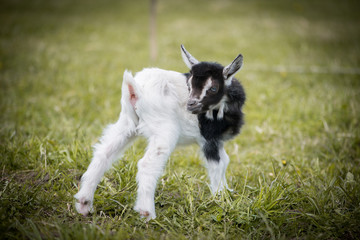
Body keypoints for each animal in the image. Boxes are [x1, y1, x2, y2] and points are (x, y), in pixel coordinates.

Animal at [74, 44, 246, 219]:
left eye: (213, 88)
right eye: (189, 85)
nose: (190, 104)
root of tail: (136, 90)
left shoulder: (216, 141)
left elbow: (225, 161)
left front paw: (227, 193)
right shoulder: (209, 139)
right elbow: (218, 165)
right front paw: (221, 199)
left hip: (127, 123)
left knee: (103, 152)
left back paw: (84, 203)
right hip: (164, 129)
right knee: (147, 164)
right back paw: (147, 213)